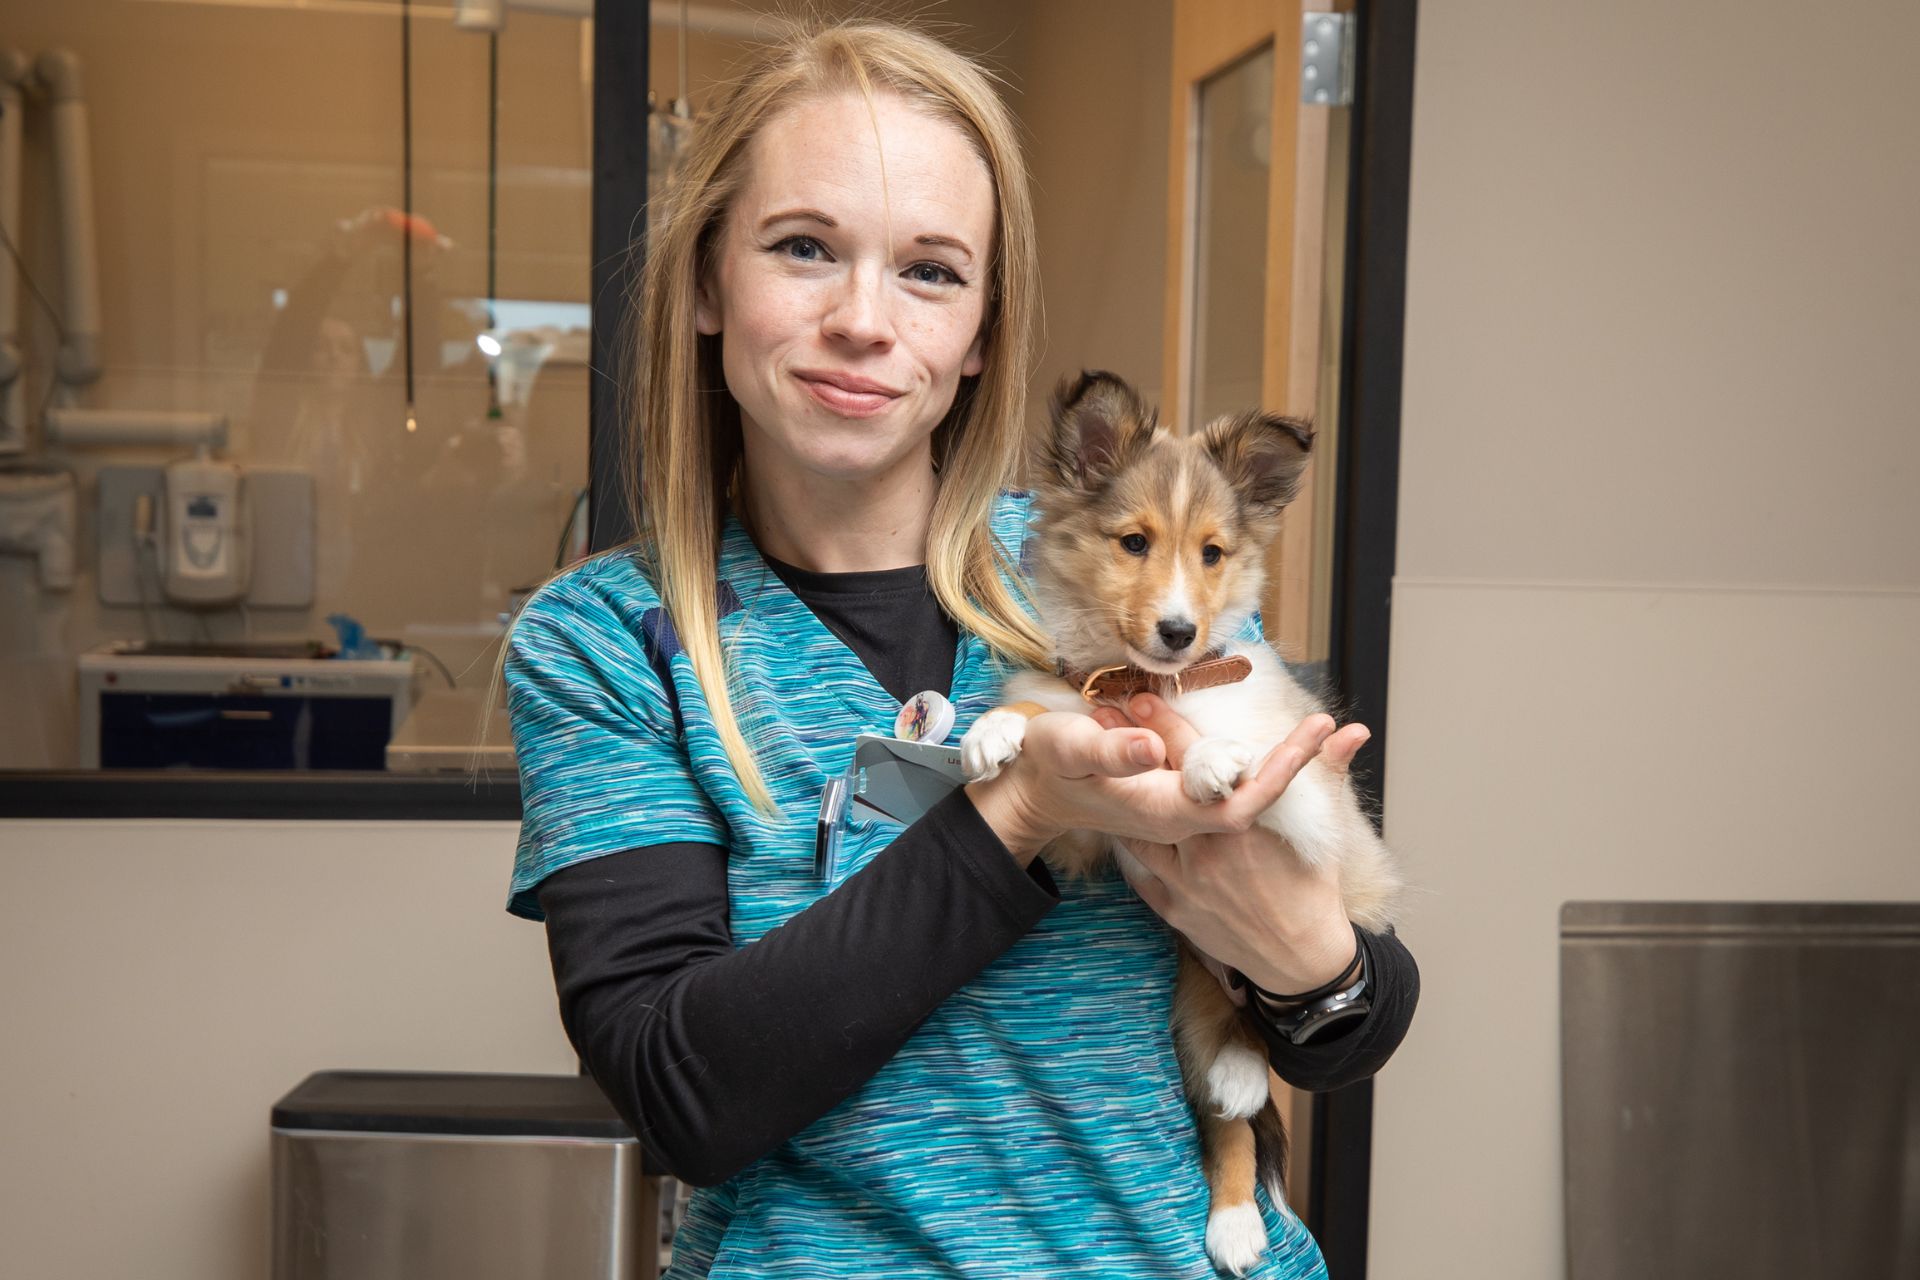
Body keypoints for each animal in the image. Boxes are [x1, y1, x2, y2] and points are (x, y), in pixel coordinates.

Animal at [967, 368, 1405, 1274]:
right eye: (1134, 542)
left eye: (1212, 553)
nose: (1178, 632)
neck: (1147, 683)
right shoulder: (1086, 827)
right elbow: (1052, 709)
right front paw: (992, 730)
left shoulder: (1311, 797)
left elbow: (1221, 750)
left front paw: (1207, 761)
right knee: (1220, 1110)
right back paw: (1234, 1200)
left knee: (1240, 1077)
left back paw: (1238, 1163)